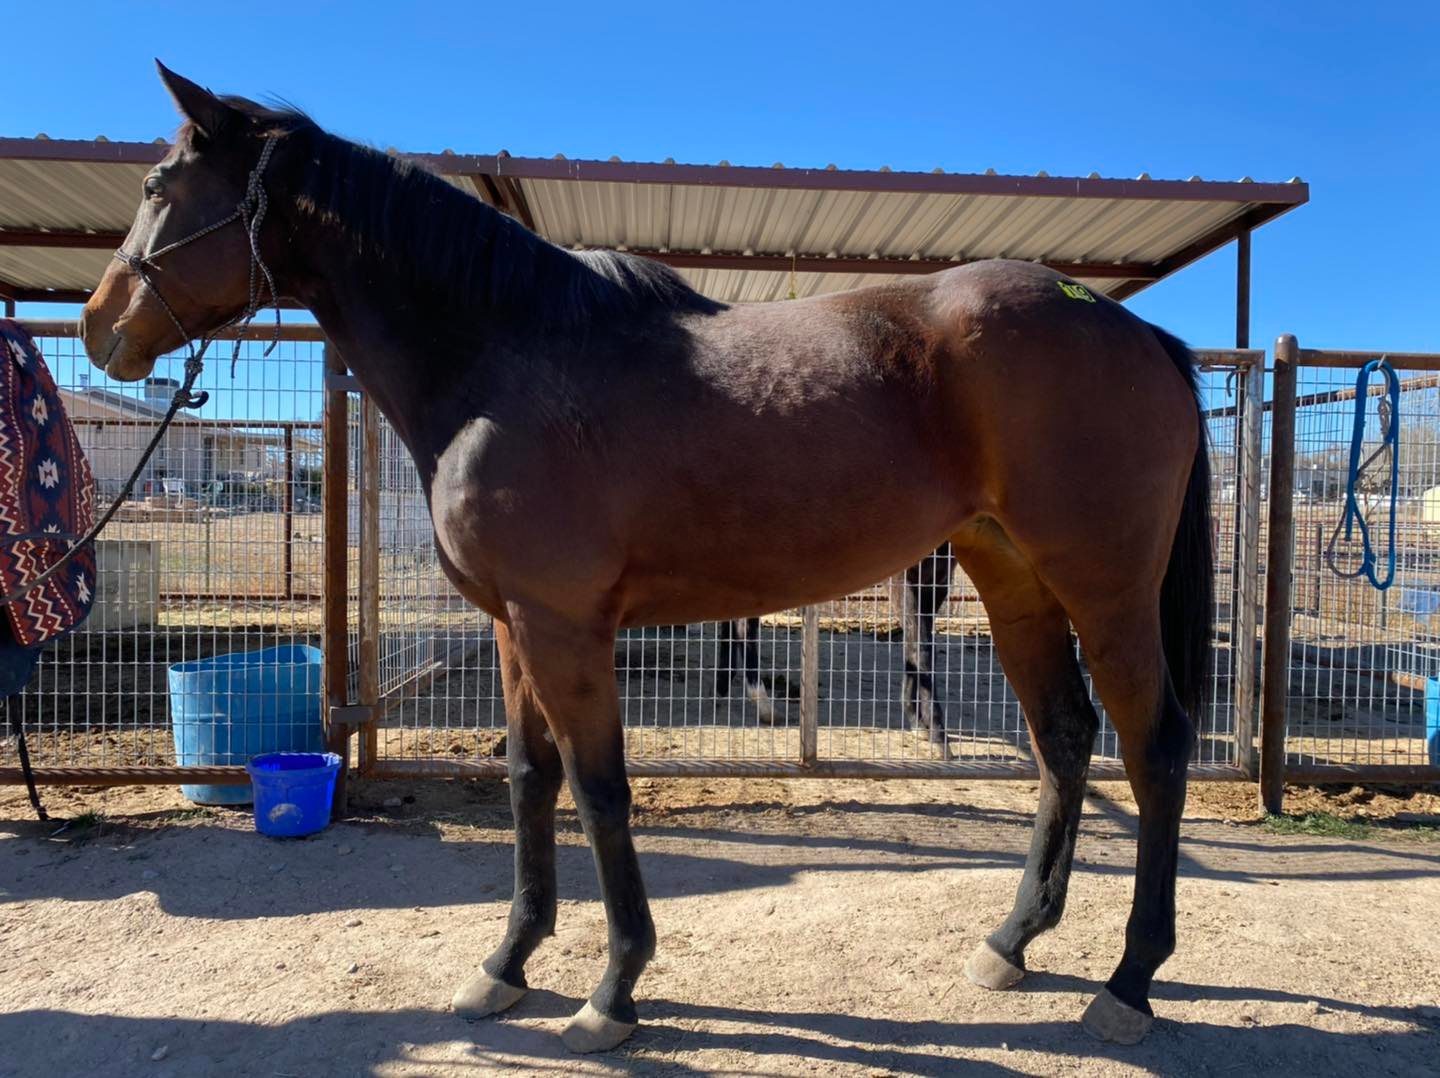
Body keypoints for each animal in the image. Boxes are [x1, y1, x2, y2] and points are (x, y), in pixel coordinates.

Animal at [716, 543, 955, 747]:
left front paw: (918, 721)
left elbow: (917, 648)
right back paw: (764, 705)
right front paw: (935, 732)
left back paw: (723, 686)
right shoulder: (903, 581)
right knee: (744, 627)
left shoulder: (935, 584)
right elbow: (921, 649)